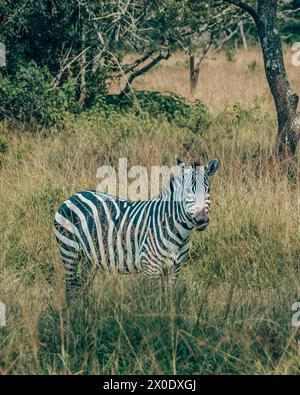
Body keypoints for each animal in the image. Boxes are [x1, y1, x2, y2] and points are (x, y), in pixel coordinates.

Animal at [54, 159, 218, 296]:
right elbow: (152, 302)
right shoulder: (150, 268)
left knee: (81, 287)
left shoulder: (174, 268)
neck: (178, 232)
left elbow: (168, 299)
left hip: (90, 258)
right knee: (70, 288)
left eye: (208, 190)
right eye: (187, 191)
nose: (201, 220)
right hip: (69, 251)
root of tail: (73, 196)